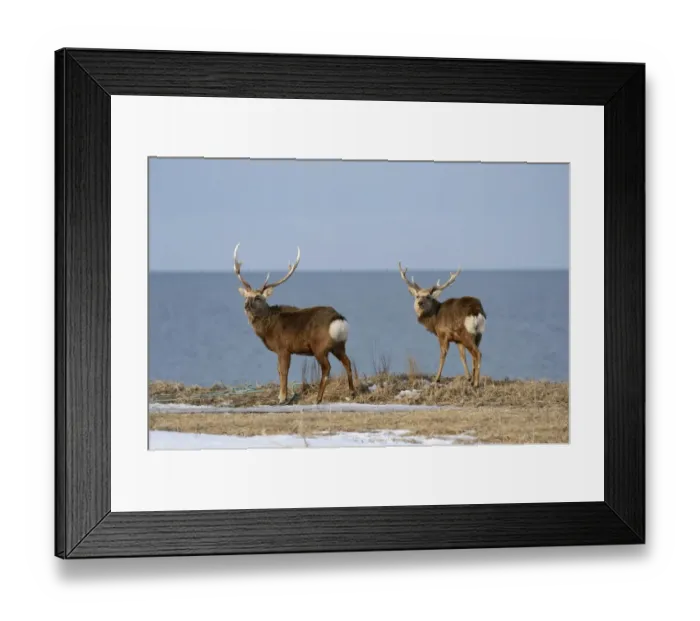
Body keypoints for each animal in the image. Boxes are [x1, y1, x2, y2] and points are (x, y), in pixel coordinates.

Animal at [233, 243, 356, 405]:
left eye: (258, 297)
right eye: (246, 297)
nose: (246, 306)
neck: (268, 329)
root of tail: (339, 319)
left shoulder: (284, 347)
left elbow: (283, 371)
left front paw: (282, 398)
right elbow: (279, 370)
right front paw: (281, 396)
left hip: (319, 346)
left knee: (327, 368)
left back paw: (318, 398)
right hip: (339, 345)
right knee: (347, 362)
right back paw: (352, 392)